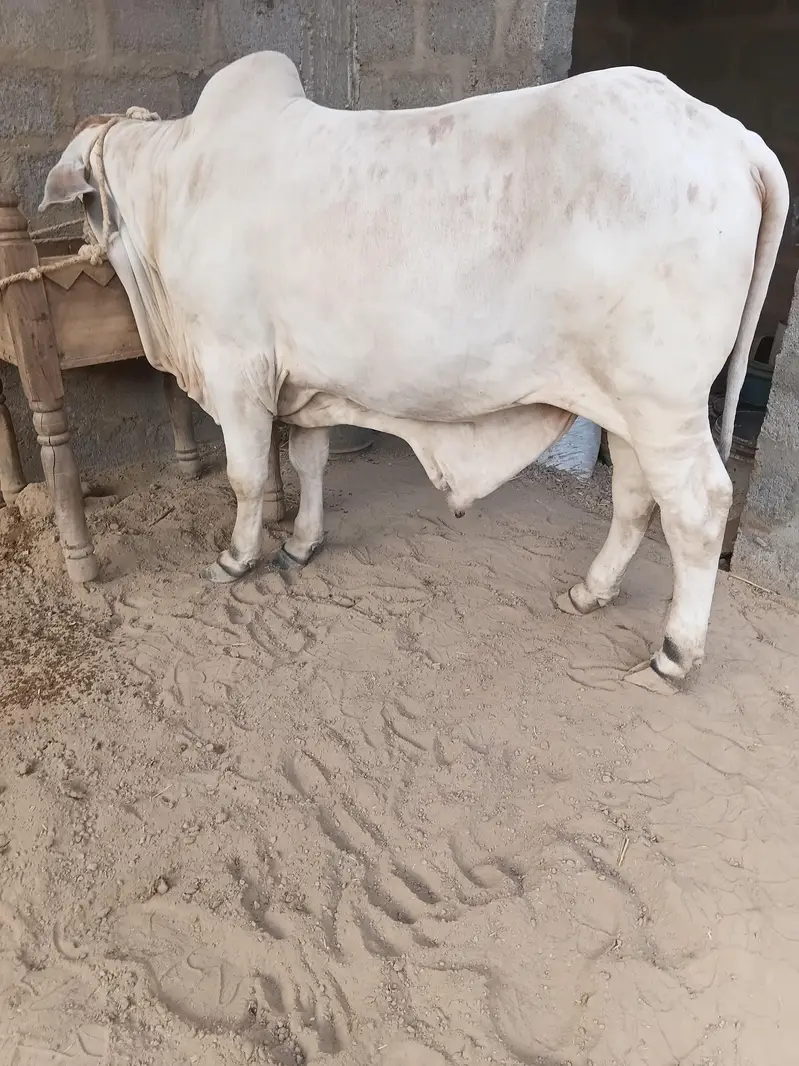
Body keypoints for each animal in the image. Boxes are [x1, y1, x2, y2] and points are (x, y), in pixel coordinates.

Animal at [40, 52, 788, 695]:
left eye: (87, 204)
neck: (177, 184)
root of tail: (738, 141)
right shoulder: (306, 382)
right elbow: (308, 461)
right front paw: (301, 545)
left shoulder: (236, 367)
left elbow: (247, 477)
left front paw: (236, 558)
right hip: (626, 403)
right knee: (634, 494)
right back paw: (589, 591)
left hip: (665, 403)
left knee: (697, 509)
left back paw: (674, 654)